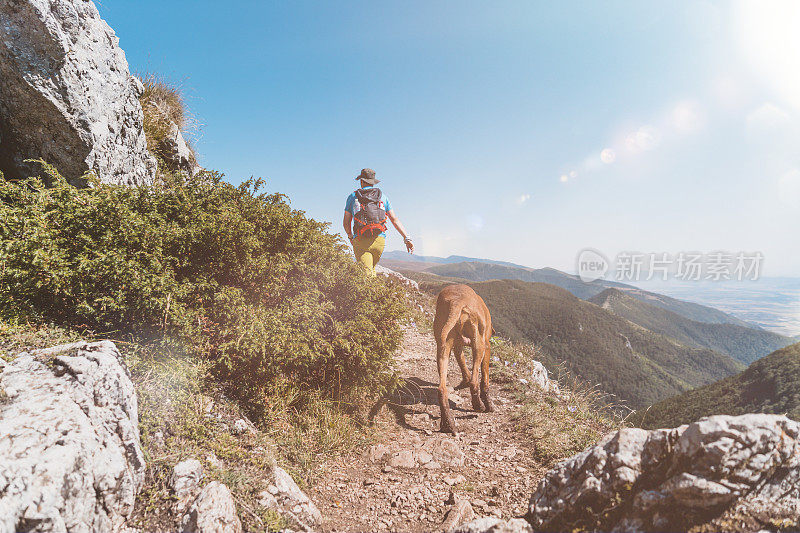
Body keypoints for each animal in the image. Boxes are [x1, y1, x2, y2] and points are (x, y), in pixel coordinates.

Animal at [434, 282, 490, 432]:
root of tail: (457, 301)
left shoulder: (457, 347)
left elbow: (463, 364)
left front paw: (464, 380)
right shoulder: (486, 346)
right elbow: (484, 379)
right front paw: (489, 403)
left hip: (443, 348)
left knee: (441, 389)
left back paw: (448, 423)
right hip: (479, 346)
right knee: (474, 381)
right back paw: (478, 405)